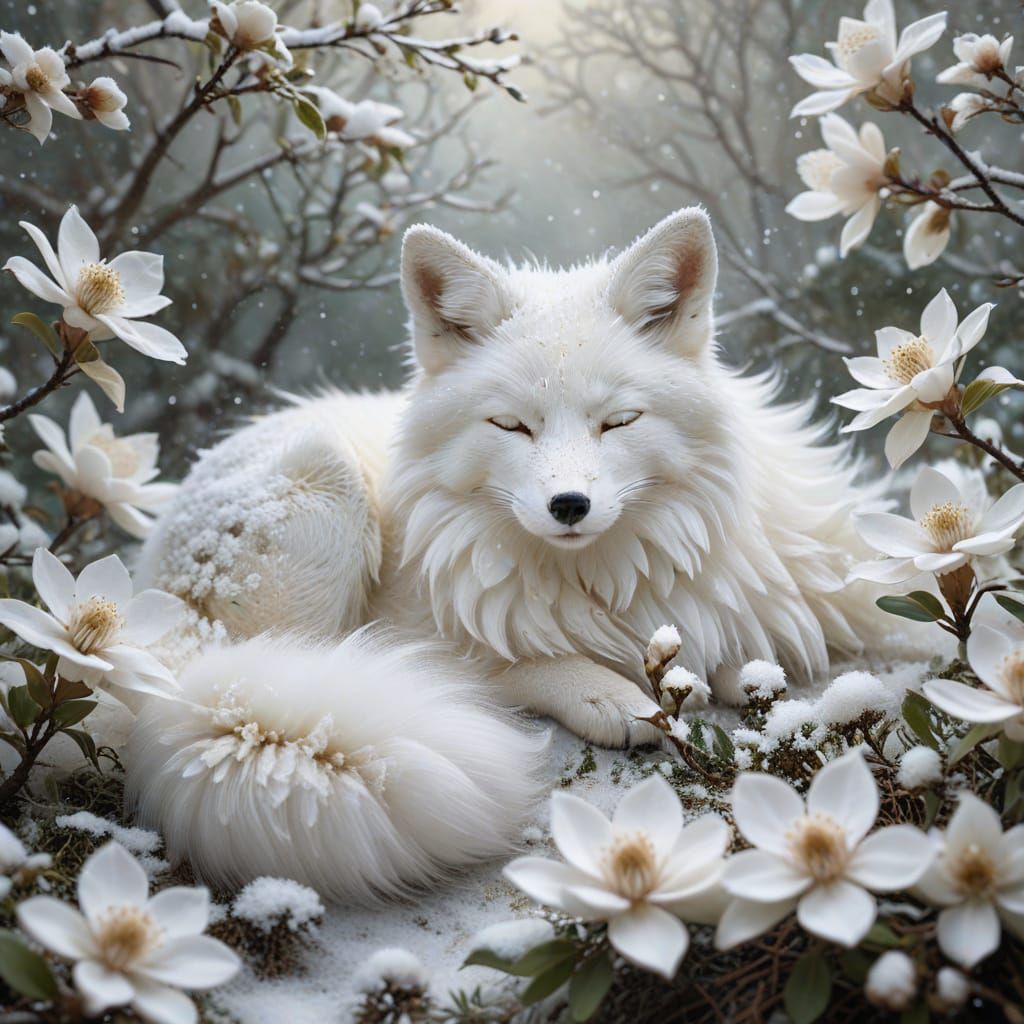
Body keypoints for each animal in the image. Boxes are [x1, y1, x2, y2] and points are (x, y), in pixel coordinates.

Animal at [127, 208, 880, 900]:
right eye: (511, 425)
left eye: (619, 421)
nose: (569, 505)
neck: (611, 577)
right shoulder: (416, 625)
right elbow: (503, 659)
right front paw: (610, 693)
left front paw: (737, 671)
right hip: (327, 484)